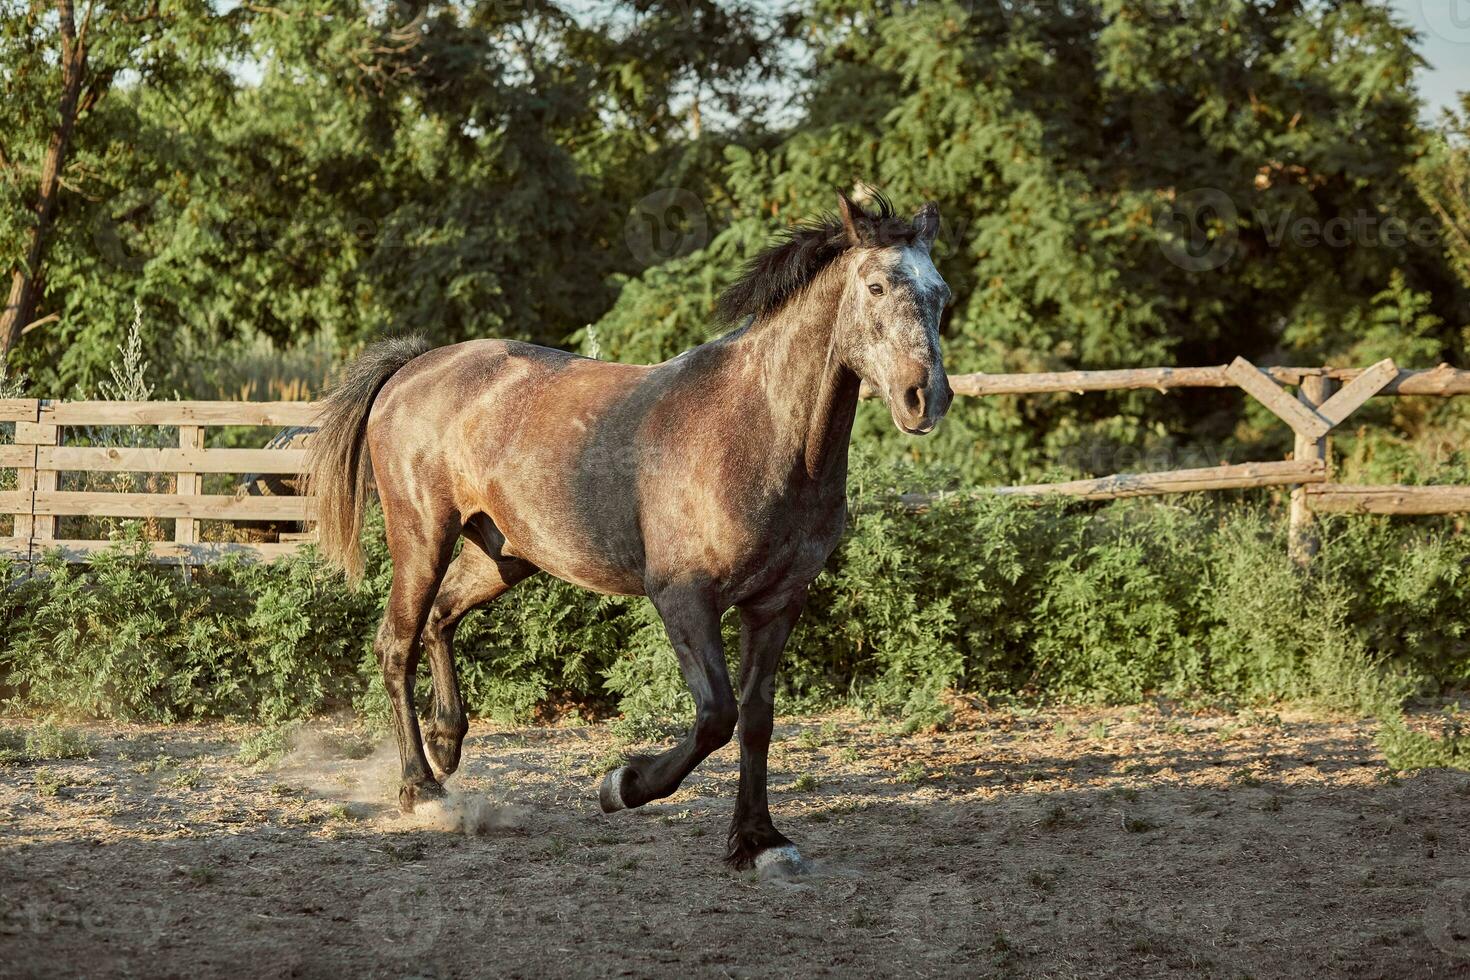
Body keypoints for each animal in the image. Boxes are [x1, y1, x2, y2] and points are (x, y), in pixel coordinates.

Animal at [308, 191, 952, 875]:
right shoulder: (683, 597)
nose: (925, 397)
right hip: (423, 538)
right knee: (395, 644)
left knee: (439, 620)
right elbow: (716, 716)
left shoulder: (778, 603)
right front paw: (622, 785)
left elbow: (756, 719)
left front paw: (758, 841)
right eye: (875, 285)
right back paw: (421, 788)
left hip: (504, 555)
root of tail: (413, 368)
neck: (761, 431)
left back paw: (446, 745)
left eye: (940, 294)